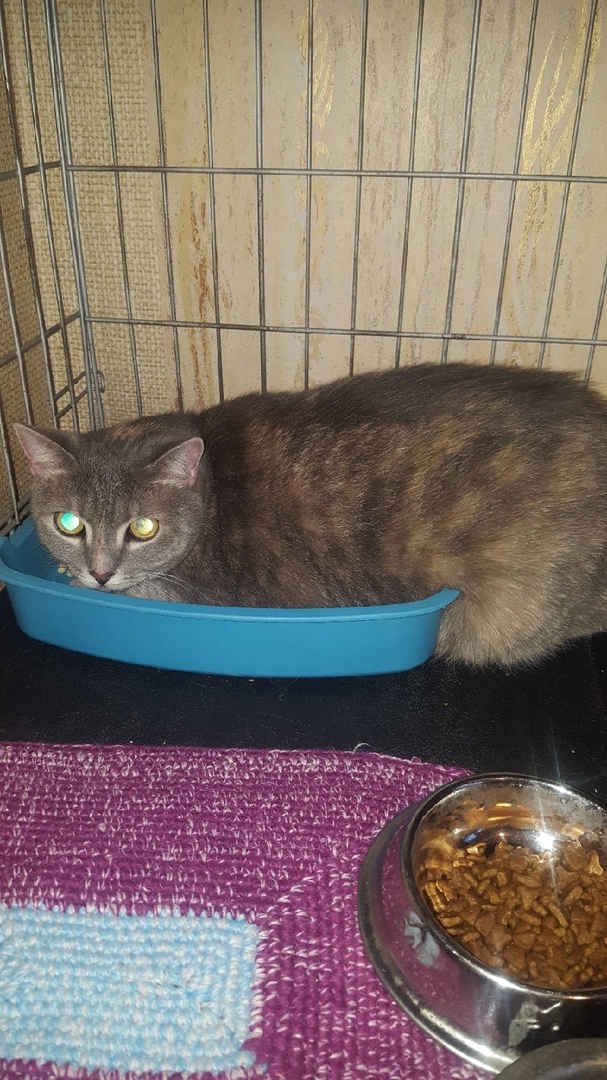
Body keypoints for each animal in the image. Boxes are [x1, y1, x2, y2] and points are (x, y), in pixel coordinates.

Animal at [13, 362, 607, 668]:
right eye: (68, 523)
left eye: (143, 528)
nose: (99, 571)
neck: (209, 490)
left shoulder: (220, 596)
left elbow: (150, 590)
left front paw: (84, 580)